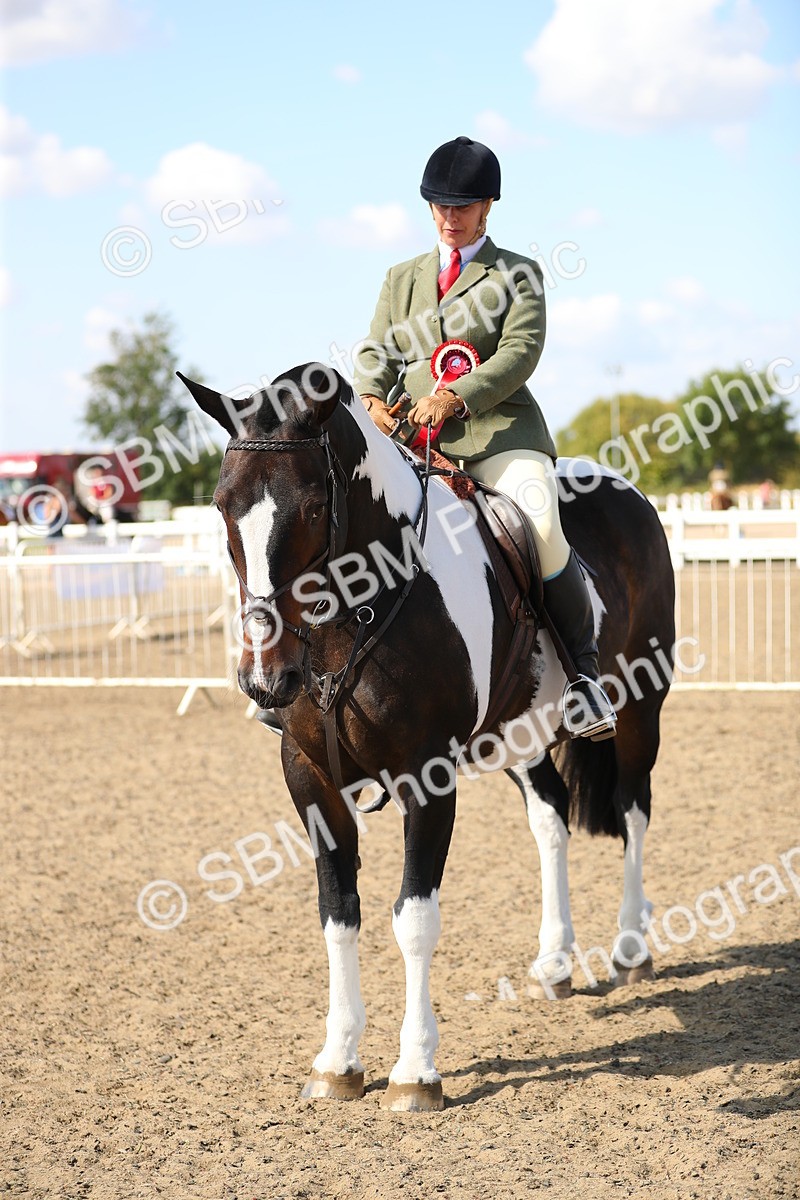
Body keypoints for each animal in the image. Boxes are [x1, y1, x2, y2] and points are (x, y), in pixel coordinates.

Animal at [179, 363, 676, 1112]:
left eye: (313, 509)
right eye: (221, 507)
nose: (266, 680)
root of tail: (622, 488)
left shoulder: (427, 775)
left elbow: (413, 918)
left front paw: (415, 1073)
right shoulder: (309, 777)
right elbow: (338, 913)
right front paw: (337, 1061)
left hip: (641, 708)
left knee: (634, 811)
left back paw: (629, 949)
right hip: (520, 735)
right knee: (551, 820)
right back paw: (555, 961)